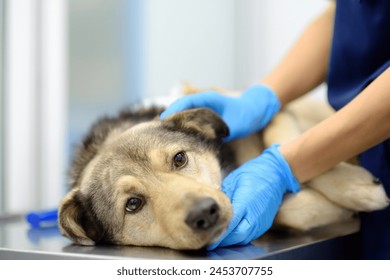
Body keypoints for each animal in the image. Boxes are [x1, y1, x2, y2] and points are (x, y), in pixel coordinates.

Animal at [58, 87, 390, 249]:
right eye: (133, 204)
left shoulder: (275, 111)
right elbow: (287, 209)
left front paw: (357, 188)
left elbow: (286, 142)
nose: (205, 213)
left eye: (179, 159)